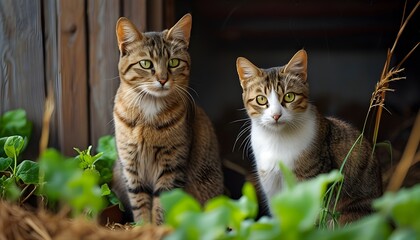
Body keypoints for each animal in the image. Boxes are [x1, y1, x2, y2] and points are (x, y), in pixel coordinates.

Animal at [111, 14, 223, 225]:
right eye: (146, 64)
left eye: (174, 62)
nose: (163, 79)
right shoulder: (131, 166)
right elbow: (139, 202)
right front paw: (143, 227)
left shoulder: (172, 165)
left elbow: (162, 203)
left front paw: (157, 227)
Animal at [236, 49, 384, 226]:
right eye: (261, 99)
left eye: (289, 97)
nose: (276, 115)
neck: (277, 139)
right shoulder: (272, 185)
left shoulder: (315, 183)